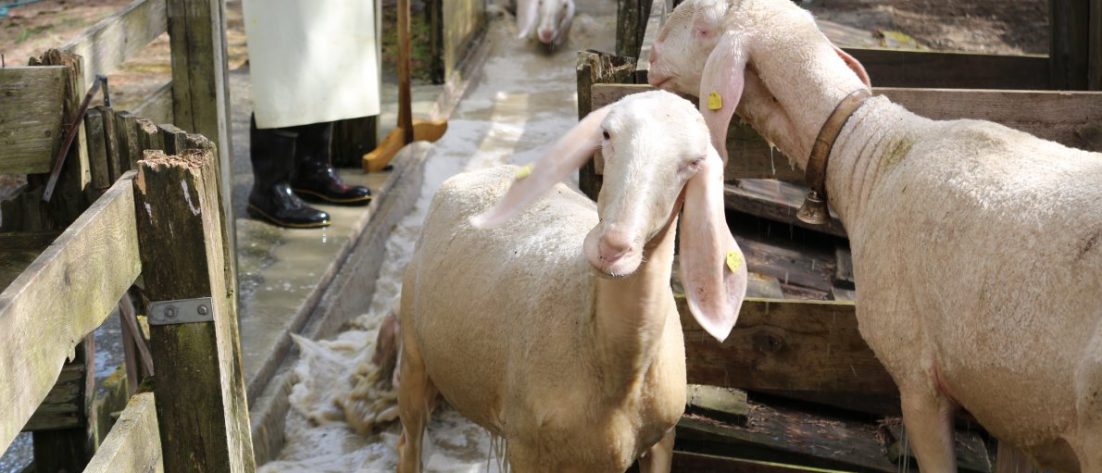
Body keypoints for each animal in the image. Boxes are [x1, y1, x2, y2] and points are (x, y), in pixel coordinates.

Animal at [396, 90, 748, 472]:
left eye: (694, 162)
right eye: (606, 134)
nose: (612, 247)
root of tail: (490, 170)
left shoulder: (661, 440)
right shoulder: (528, 448)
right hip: (413, 350)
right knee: (408, 442)